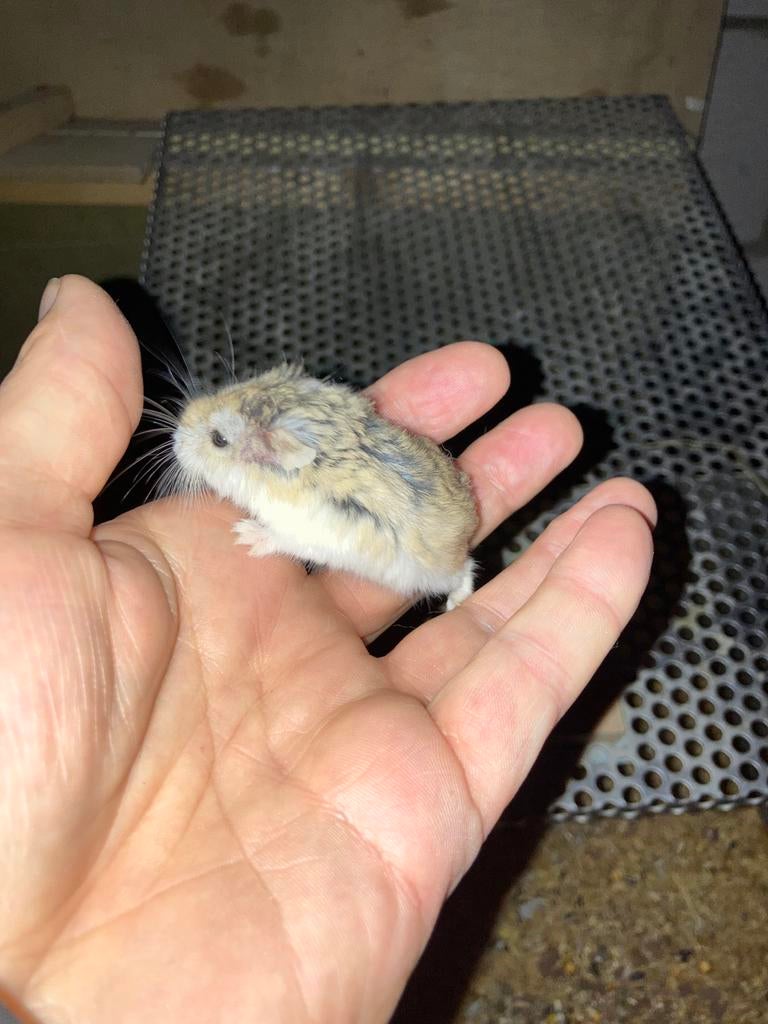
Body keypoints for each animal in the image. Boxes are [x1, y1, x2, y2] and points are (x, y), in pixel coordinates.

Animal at [173, 363, 478, 609]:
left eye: (219, 439)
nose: (175, 439)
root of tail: (468, 529)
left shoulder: (299, 531)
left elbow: (276, 538)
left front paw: (244, 534)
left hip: (435, 574)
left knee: (467, 569)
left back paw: (455, 604)